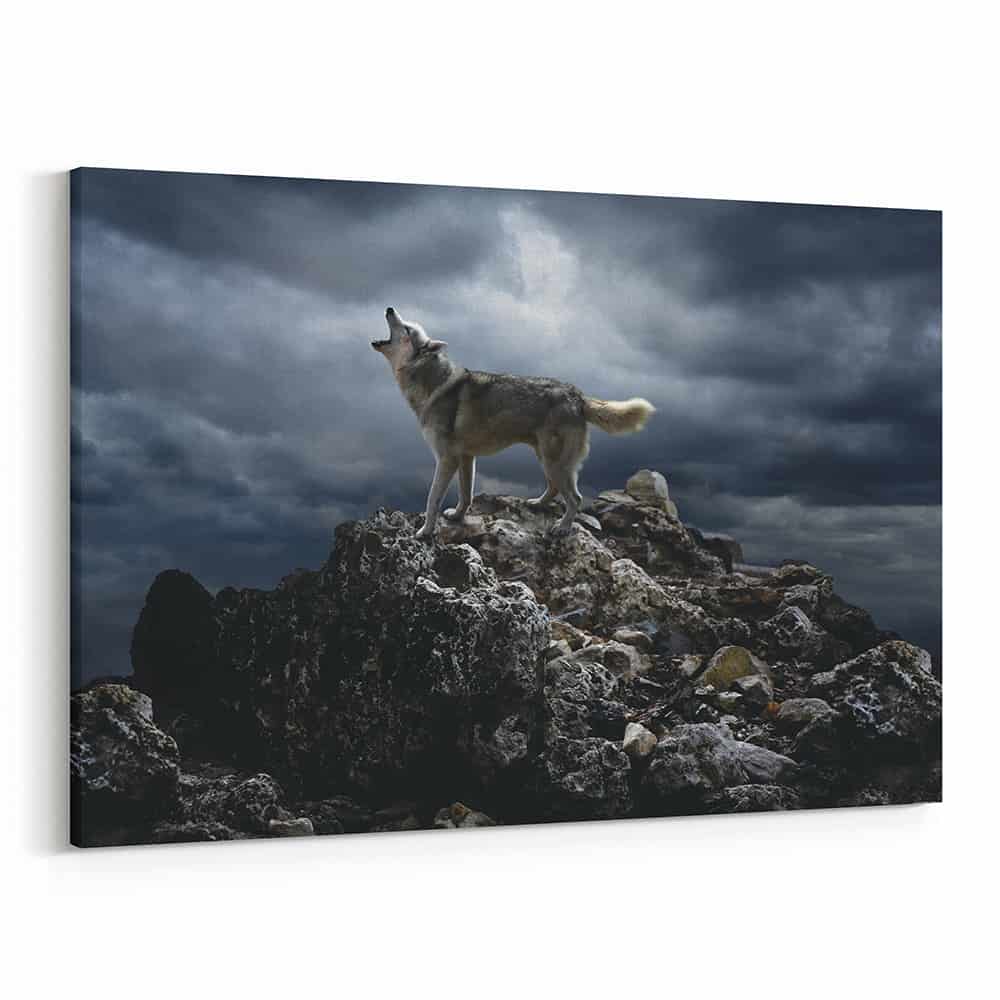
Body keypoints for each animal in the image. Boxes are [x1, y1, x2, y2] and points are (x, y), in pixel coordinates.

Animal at [372, 307, 655, 540]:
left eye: (407, 328)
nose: (389, 308)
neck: (432, 383)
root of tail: (577, 394)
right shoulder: (466, 458)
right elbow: (466, 494)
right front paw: (457, 516)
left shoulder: (446, 459)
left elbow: (432, 499)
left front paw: (425, 531)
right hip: (547, 459)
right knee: (555, 489)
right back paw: (536, 504)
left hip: (553, 461)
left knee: (575, 498)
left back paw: (562, 528)